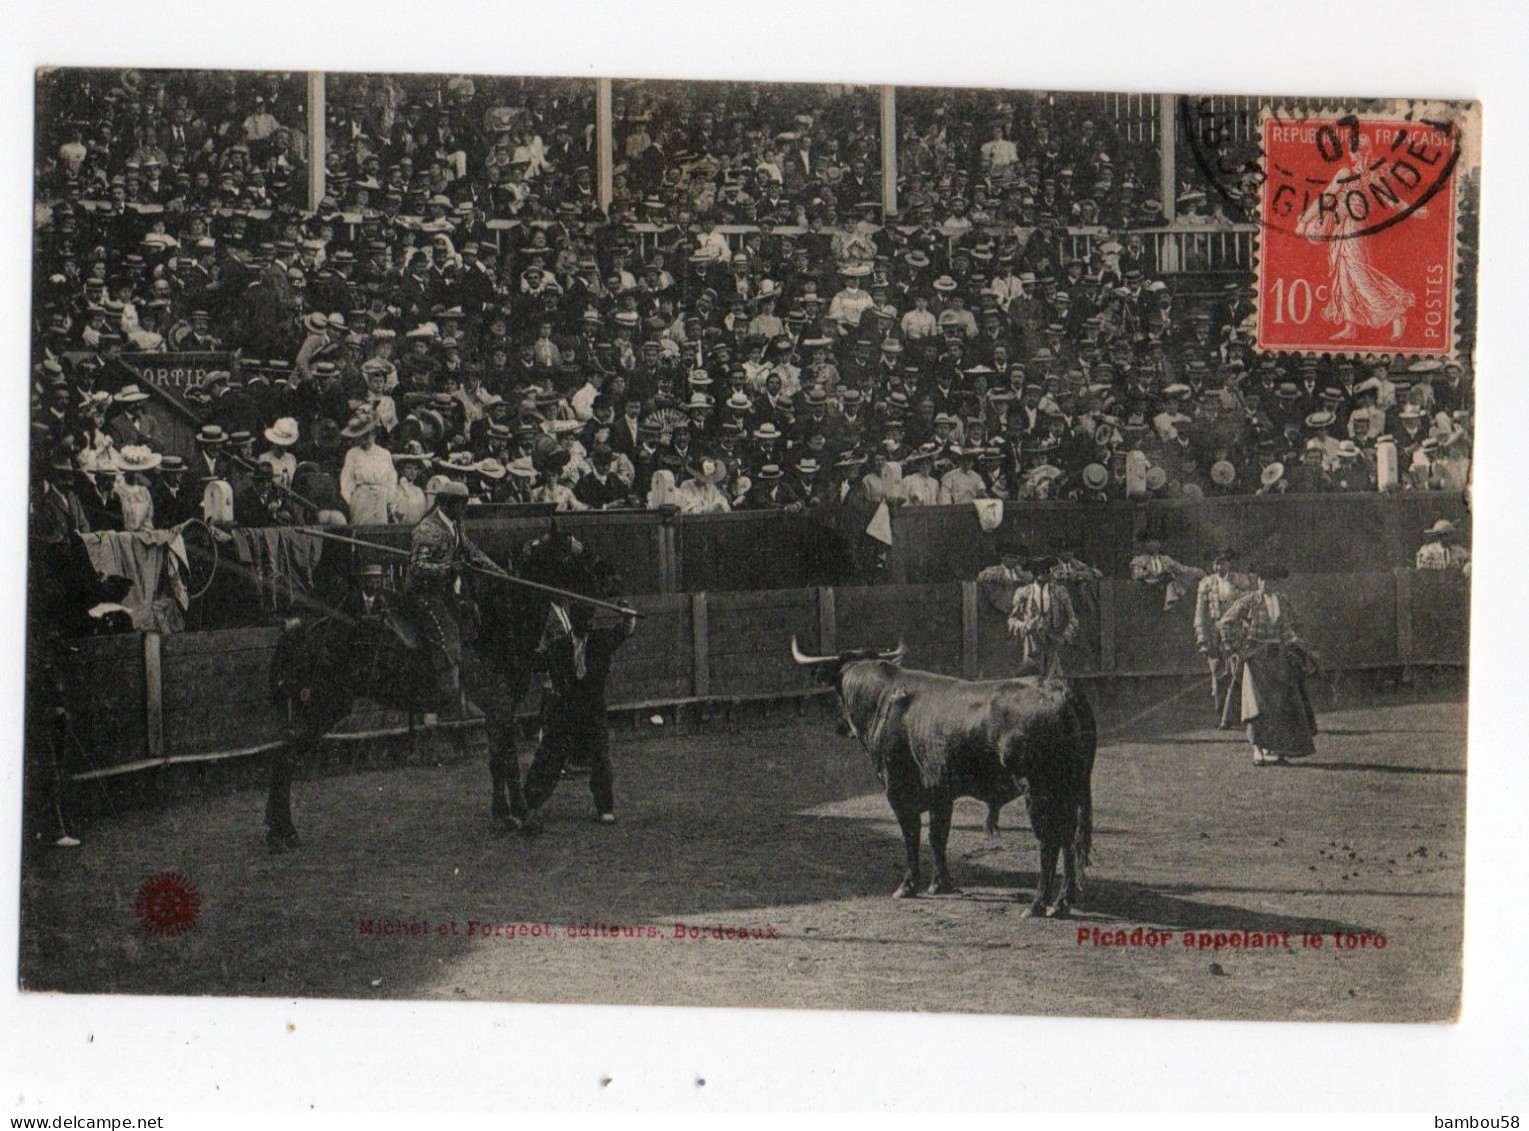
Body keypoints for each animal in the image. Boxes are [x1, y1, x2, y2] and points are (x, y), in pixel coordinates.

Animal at [266, 522, 605, 849]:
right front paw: (526, 819)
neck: (498, 621)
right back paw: (283, 834)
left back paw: (279, 830)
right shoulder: (500, 702)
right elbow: (508, 760)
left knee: (284, 753)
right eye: (569, 557)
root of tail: (303, 626)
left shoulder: (495, 709)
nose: (593, 605)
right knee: (286, 757)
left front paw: (503, 816)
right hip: (323, 705)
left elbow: (496, 760)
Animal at [795, 635, 1094, 917]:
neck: (884, 698)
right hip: (1070, 788)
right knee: (1069, 838)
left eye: (836, 689)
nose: (840, 727)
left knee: (1049, 841)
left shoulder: (897, 790)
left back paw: (1037, 905)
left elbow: (912, 836)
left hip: (1039, 790)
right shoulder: (941, 793)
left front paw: (907, 886)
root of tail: (1061, 692)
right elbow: (938, 836)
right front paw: (941, 883)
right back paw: (1062, 903)